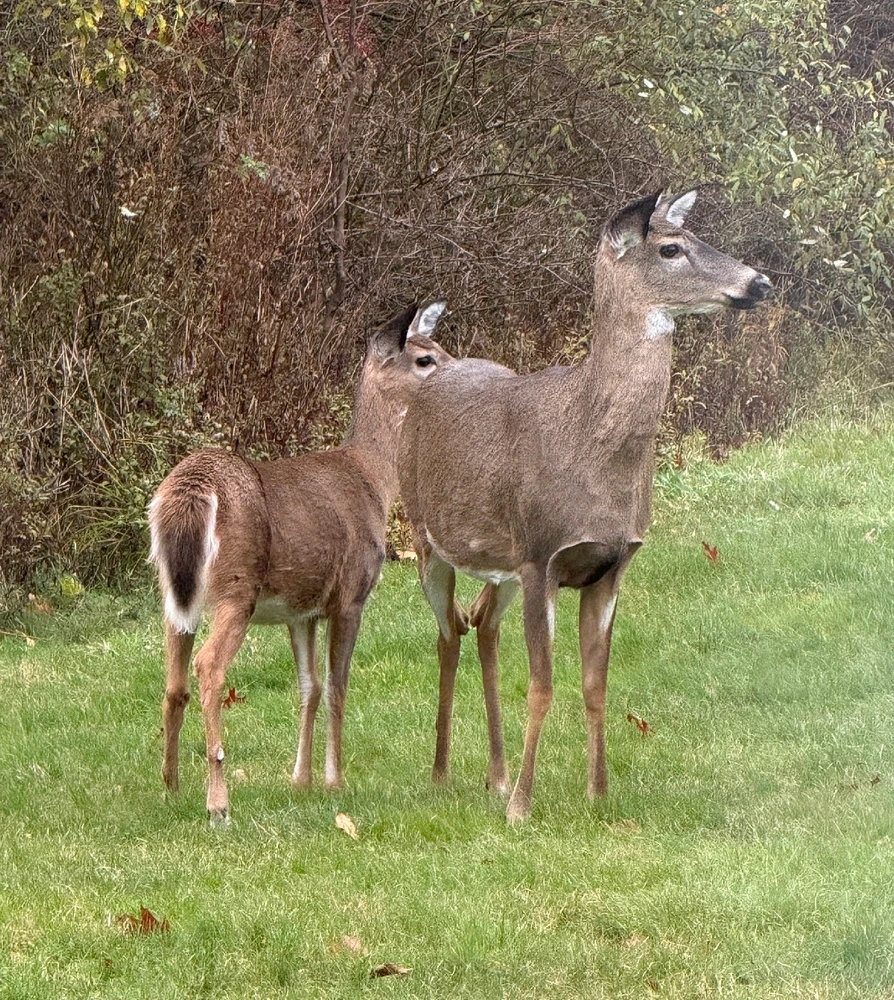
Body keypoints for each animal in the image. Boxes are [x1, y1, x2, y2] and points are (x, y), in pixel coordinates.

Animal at [149, 301, 451, 825]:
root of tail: (189, 491)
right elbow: (337, 685)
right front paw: (334, 782)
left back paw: (171, 786)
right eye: (424, 359)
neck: (374, 480)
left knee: (174, 682)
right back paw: (218, 802)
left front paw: (301, 780)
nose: (460, 373)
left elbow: (307, 686)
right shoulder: (350, 594)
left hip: (175, 595)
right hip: (236, 587)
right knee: (209, 668)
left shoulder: (301, 609)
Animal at [399, 190, 771, 822]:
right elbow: (542, 685)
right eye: (671, 248)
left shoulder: (610, 565)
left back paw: (495, 775)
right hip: (427, 538)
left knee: (480, 621)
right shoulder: (542, 555)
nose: (759, 280)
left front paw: (598, 794)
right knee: (448, 632)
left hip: (501, 564)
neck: (589, 446)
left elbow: (596, 684)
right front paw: (522, 808)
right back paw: (443, 774)